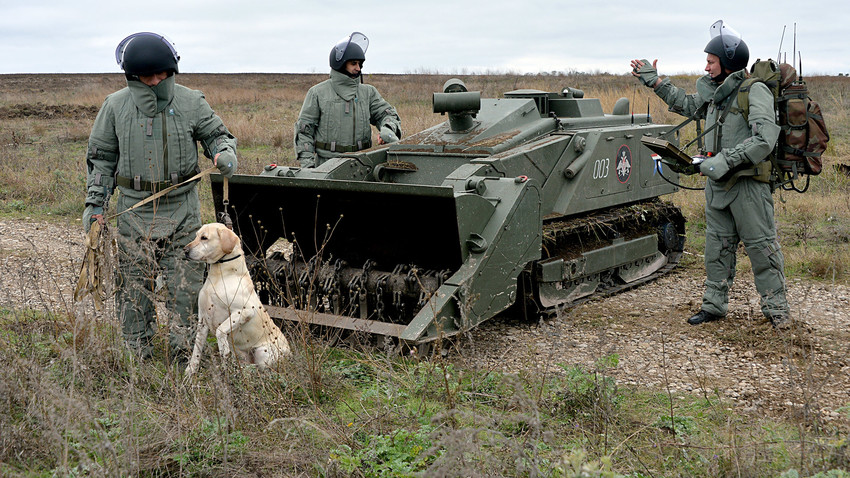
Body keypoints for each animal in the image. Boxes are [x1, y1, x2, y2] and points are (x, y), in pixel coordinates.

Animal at [182, 224, 288, 378]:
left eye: (204, 238)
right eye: (196, 236)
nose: (185, 250)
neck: (220, 275)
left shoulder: (245, 311)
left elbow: (220, 330)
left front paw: (223, 349)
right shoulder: (202, 320)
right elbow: (197, 349)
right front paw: (190, 372)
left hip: (263, 353)